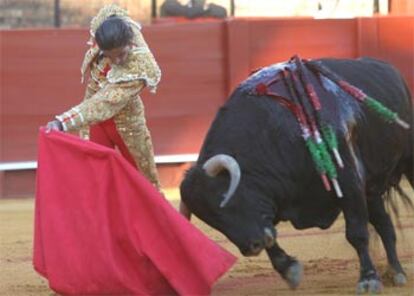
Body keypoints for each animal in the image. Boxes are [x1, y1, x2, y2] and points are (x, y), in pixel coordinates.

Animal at [180, 56, 412, 294]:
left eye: (225, 201)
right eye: (212, 220)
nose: (252, 247)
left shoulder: (349, 182)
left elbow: (357, 232)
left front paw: (368, 279)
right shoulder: (272, 201)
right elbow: (271, 238)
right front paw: (289, 270)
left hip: (406, 162)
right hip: (371, 189)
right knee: (385, 224)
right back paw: (396, 272)